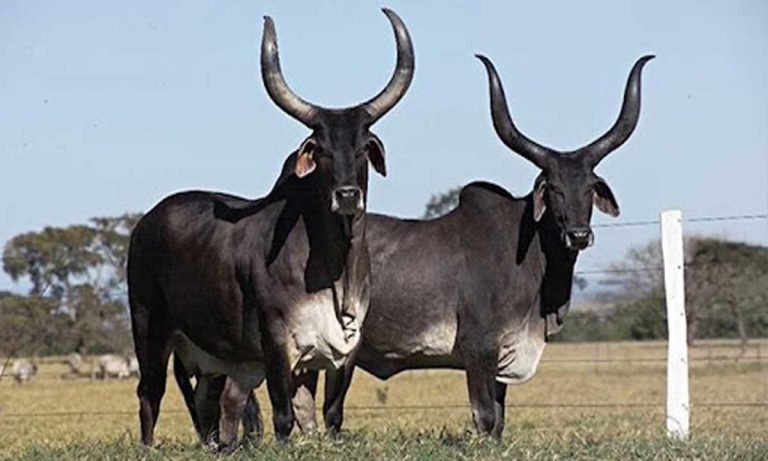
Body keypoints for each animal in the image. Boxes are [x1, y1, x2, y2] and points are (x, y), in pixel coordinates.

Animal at [127, 8, 414, 451]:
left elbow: (324, 415)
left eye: (363, 147)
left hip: (215, 359)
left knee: (210, 403)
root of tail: (147, 223)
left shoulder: (342, 352)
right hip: (149, 327)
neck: (334, 270)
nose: (347, 196)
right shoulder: (277, 345)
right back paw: (148, 445)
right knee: (149, 394)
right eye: (321, 149)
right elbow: (283, 417)